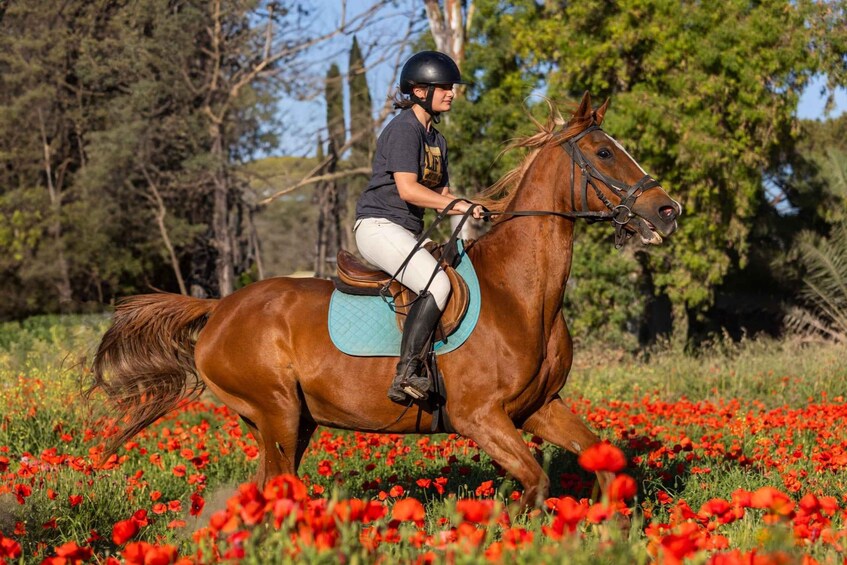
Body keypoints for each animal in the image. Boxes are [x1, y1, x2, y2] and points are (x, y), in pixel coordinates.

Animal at [90, 92, 681, 508]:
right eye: (604, 152)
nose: (668, 210)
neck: (521, 294)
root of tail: (219, 308)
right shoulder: (480, 418)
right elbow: (533, 484)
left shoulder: (539, 407)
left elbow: (607, 465)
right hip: (277, 413)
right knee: (278, 489)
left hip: (291, 421)